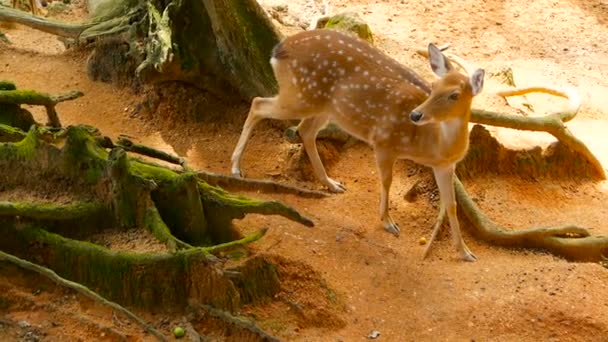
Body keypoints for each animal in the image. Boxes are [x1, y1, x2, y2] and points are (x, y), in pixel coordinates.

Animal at [232, 28, 484, 262]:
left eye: (454, 95)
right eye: (432, 86)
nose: (415, 114)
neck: (433, 145)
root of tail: (278, 50)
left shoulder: (445, 166)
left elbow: (451, 204)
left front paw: (465, 252)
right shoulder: (383, 141)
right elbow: (386, 181)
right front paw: (388, 223)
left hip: (324, 106)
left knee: (304, 130)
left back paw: (331, 183)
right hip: (300, 96)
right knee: (258, 104)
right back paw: (235, 168)